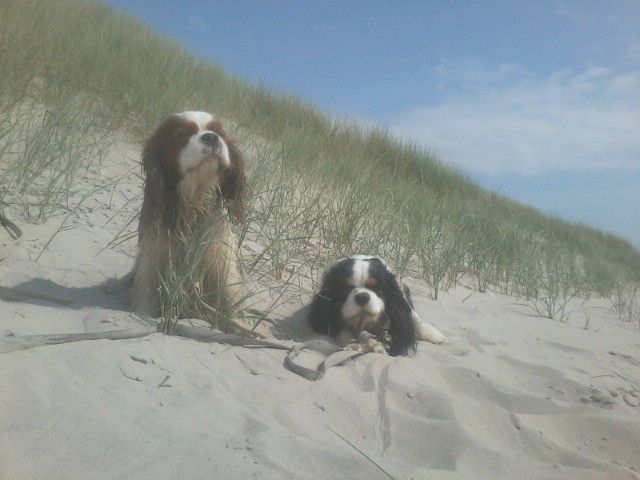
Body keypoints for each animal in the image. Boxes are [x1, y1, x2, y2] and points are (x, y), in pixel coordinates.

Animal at [130, 109, 248, 326]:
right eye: (183, 135)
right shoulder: (152, 259)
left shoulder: (222, 264)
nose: (211, 137)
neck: (194, 205)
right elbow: (145, 298)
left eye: (219, 132)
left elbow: (231, 300)